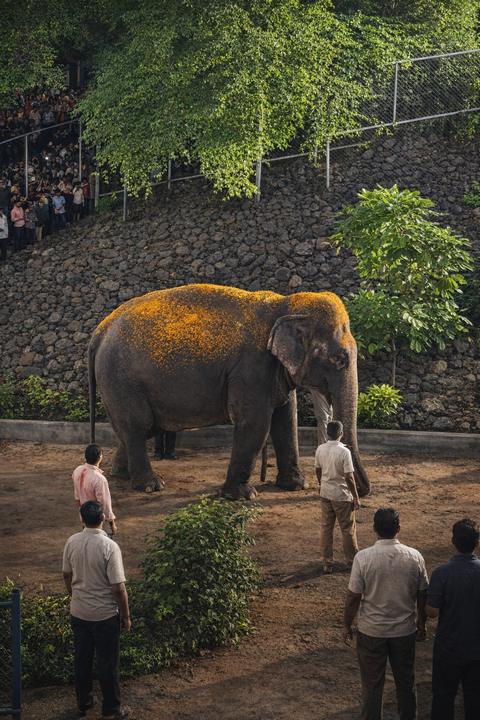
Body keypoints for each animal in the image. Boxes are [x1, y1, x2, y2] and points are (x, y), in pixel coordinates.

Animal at [88, 283, 370, 499]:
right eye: (339, 359)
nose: (363, 491)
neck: (284, 304)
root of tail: (100, 330)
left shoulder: (274, 370)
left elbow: (286, 420)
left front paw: (297, 485)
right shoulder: (251, 366)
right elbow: (254, 422)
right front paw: (241, 496)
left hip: (117, 382)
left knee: (131, 429)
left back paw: (122, 475)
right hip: (122, 380)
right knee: (139, 426)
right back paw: (151, 486)